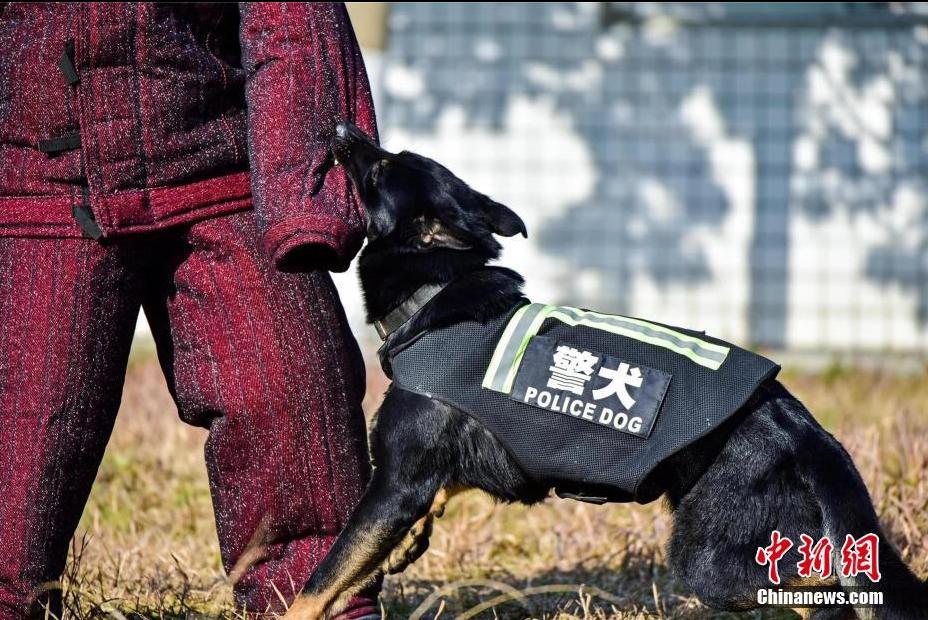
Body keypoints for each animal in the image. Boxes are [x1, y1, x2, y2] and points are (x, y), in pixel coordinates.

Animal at [282, 122, 928, 620]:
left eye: (381, 167)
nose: (341, 128)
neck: (435, 295)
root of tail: (801, 426)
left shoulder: (392, 487)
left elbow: (320, 583)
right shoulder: (429, 480)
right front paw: (404, 548)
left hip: (710, 559)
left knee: (828, 590)